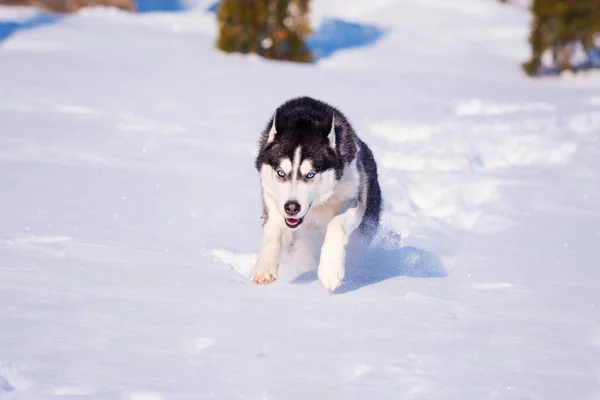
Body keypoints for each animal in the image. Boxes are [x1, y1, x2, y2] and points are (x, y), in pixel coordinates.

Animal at [250, 97, 382, 290]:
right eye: (281, 173)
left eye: (310, 175)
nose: (291, 207)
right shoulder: (272, 200)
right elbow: (273, 230)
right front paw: (264, 267)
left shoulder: (354, 198)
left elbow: (336, 224)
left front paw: (330, 270)